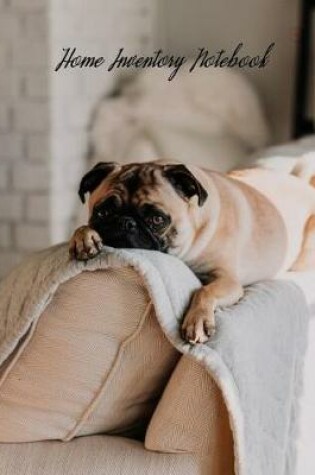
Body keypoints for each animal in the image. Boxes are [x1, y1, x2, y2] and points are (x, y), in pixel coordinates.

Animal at [69, 162, 315, 344]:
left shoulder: (228, 281)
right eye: (103, 212)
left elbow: (204, 291)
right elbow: (82, 228)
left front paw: (197, 321)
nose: (125, 223)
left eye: (157, 219)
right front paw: (83, 237)